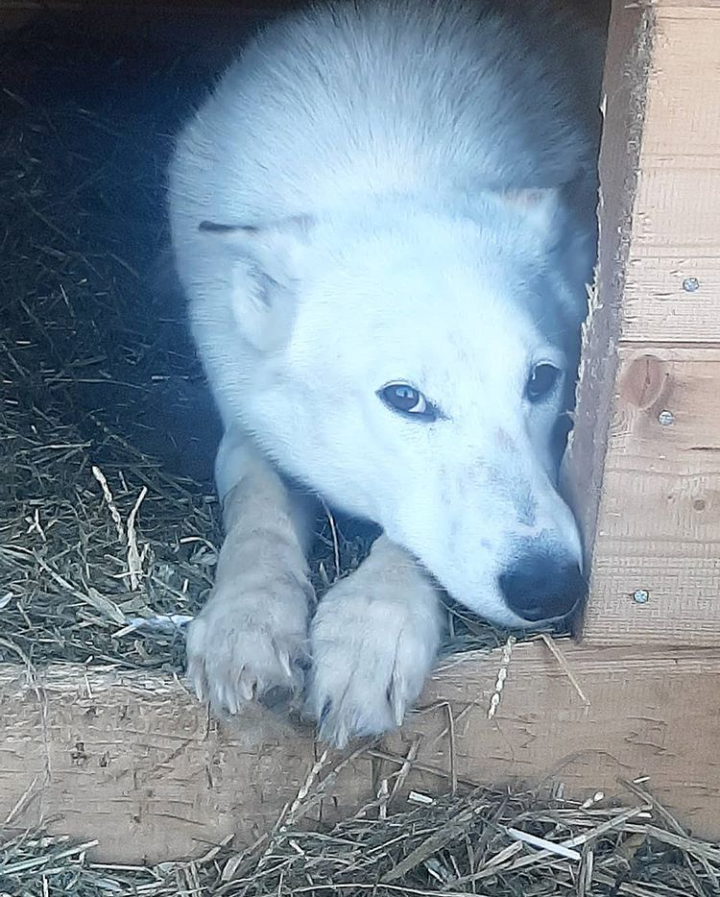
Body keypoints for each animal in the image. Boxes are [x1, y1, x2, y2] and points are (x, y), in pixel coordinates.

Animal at [170, 0, 608, 744]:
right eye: (405, 398)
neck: (387, 159)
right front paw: (245, 620)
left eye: (541, 381)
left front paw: (371, 631)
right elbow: (257, 504)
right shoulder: (245, 420)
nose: (551, 586)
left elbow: (407, 543)